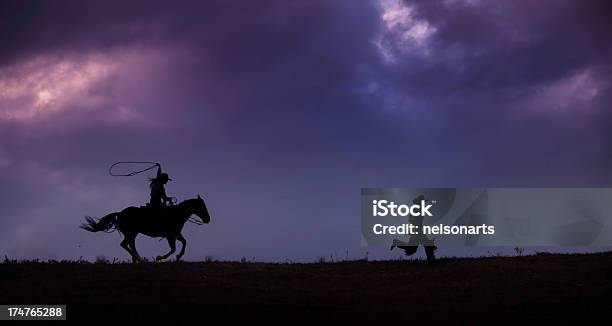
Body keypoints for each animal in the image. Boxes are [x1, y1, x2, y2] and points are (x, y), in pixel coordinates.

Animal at [81, 195, 210, 262]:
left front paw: (178, 257)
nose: (207, 219)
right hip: (131, 233)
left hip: (133, 234)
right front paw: (160, 257)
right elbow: (173, 249)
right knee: (124, 244)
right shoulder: (170, 236)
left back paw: (136, 258)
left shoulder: (176, 234)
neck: (176, 214)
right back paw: (139, 259)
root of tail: (120, 213)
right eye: (202, 206)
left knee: (130, 245)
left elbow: (184, 242)